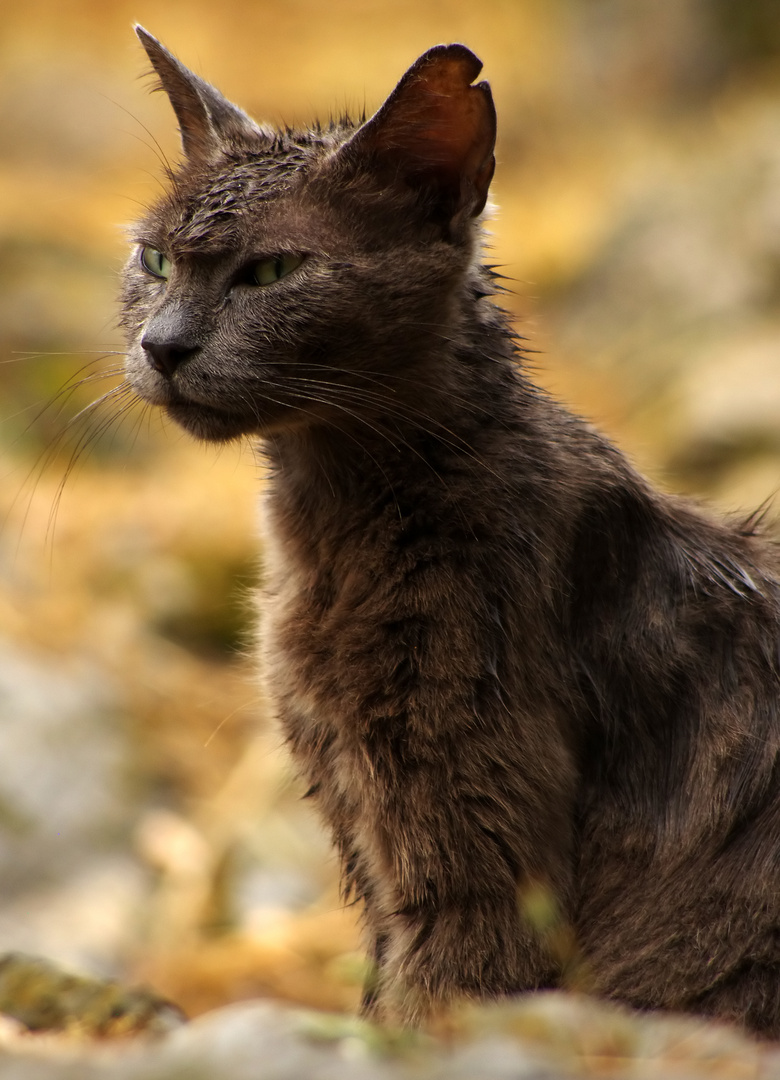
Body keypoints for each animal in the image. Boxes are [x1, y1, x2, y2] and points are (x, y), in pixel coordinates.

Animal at [118, 29, 777, 1032]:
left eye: (271, 271)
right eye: (153, 260)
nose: (162, 345)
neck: (327, 533)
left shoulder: (470, 835)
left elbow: (437, 1004)